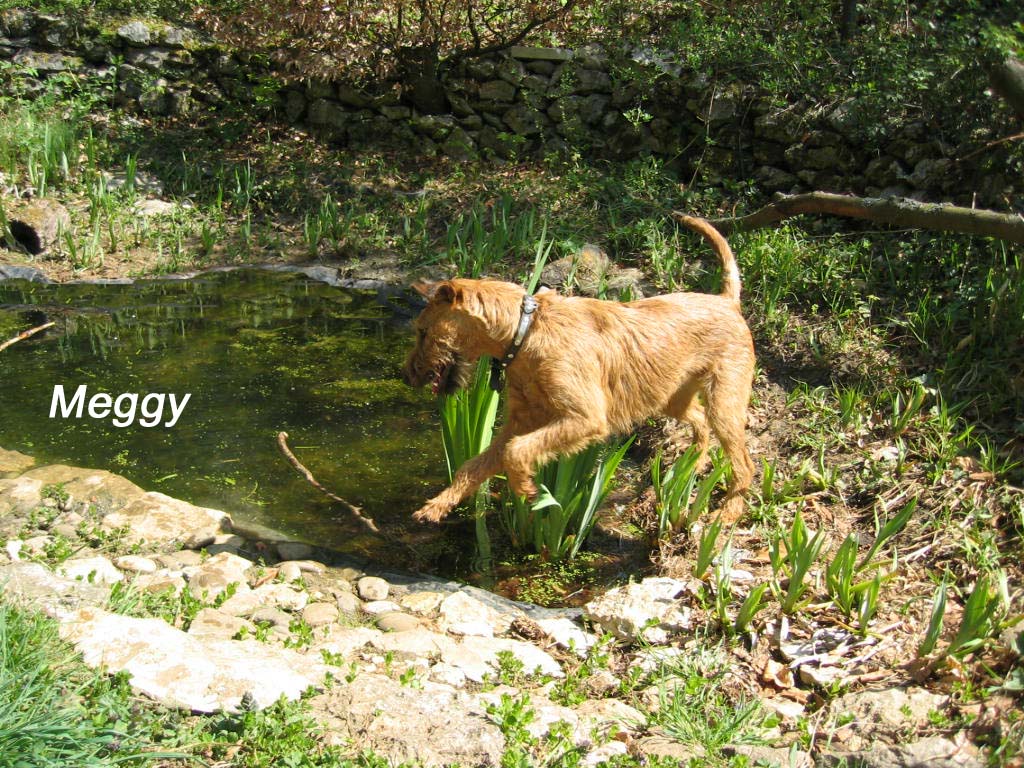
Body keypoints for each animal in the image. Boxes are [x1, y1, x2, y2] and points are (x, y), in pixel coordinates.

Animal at [402, 212, 755, 525]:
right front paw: (437, 506)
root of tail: (728, 301)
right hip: (672, 397)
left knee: (743, 463)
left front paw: (527, 490)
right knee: (700, 421)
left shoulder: (584, 418)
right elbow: (472, 466)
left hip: (725, 403)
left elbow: (517, 451)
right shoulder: (519, 423)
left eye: (423, 332)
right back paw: (692, 465)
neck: (524, 331)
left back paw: (726, 514)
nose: (407, 376)